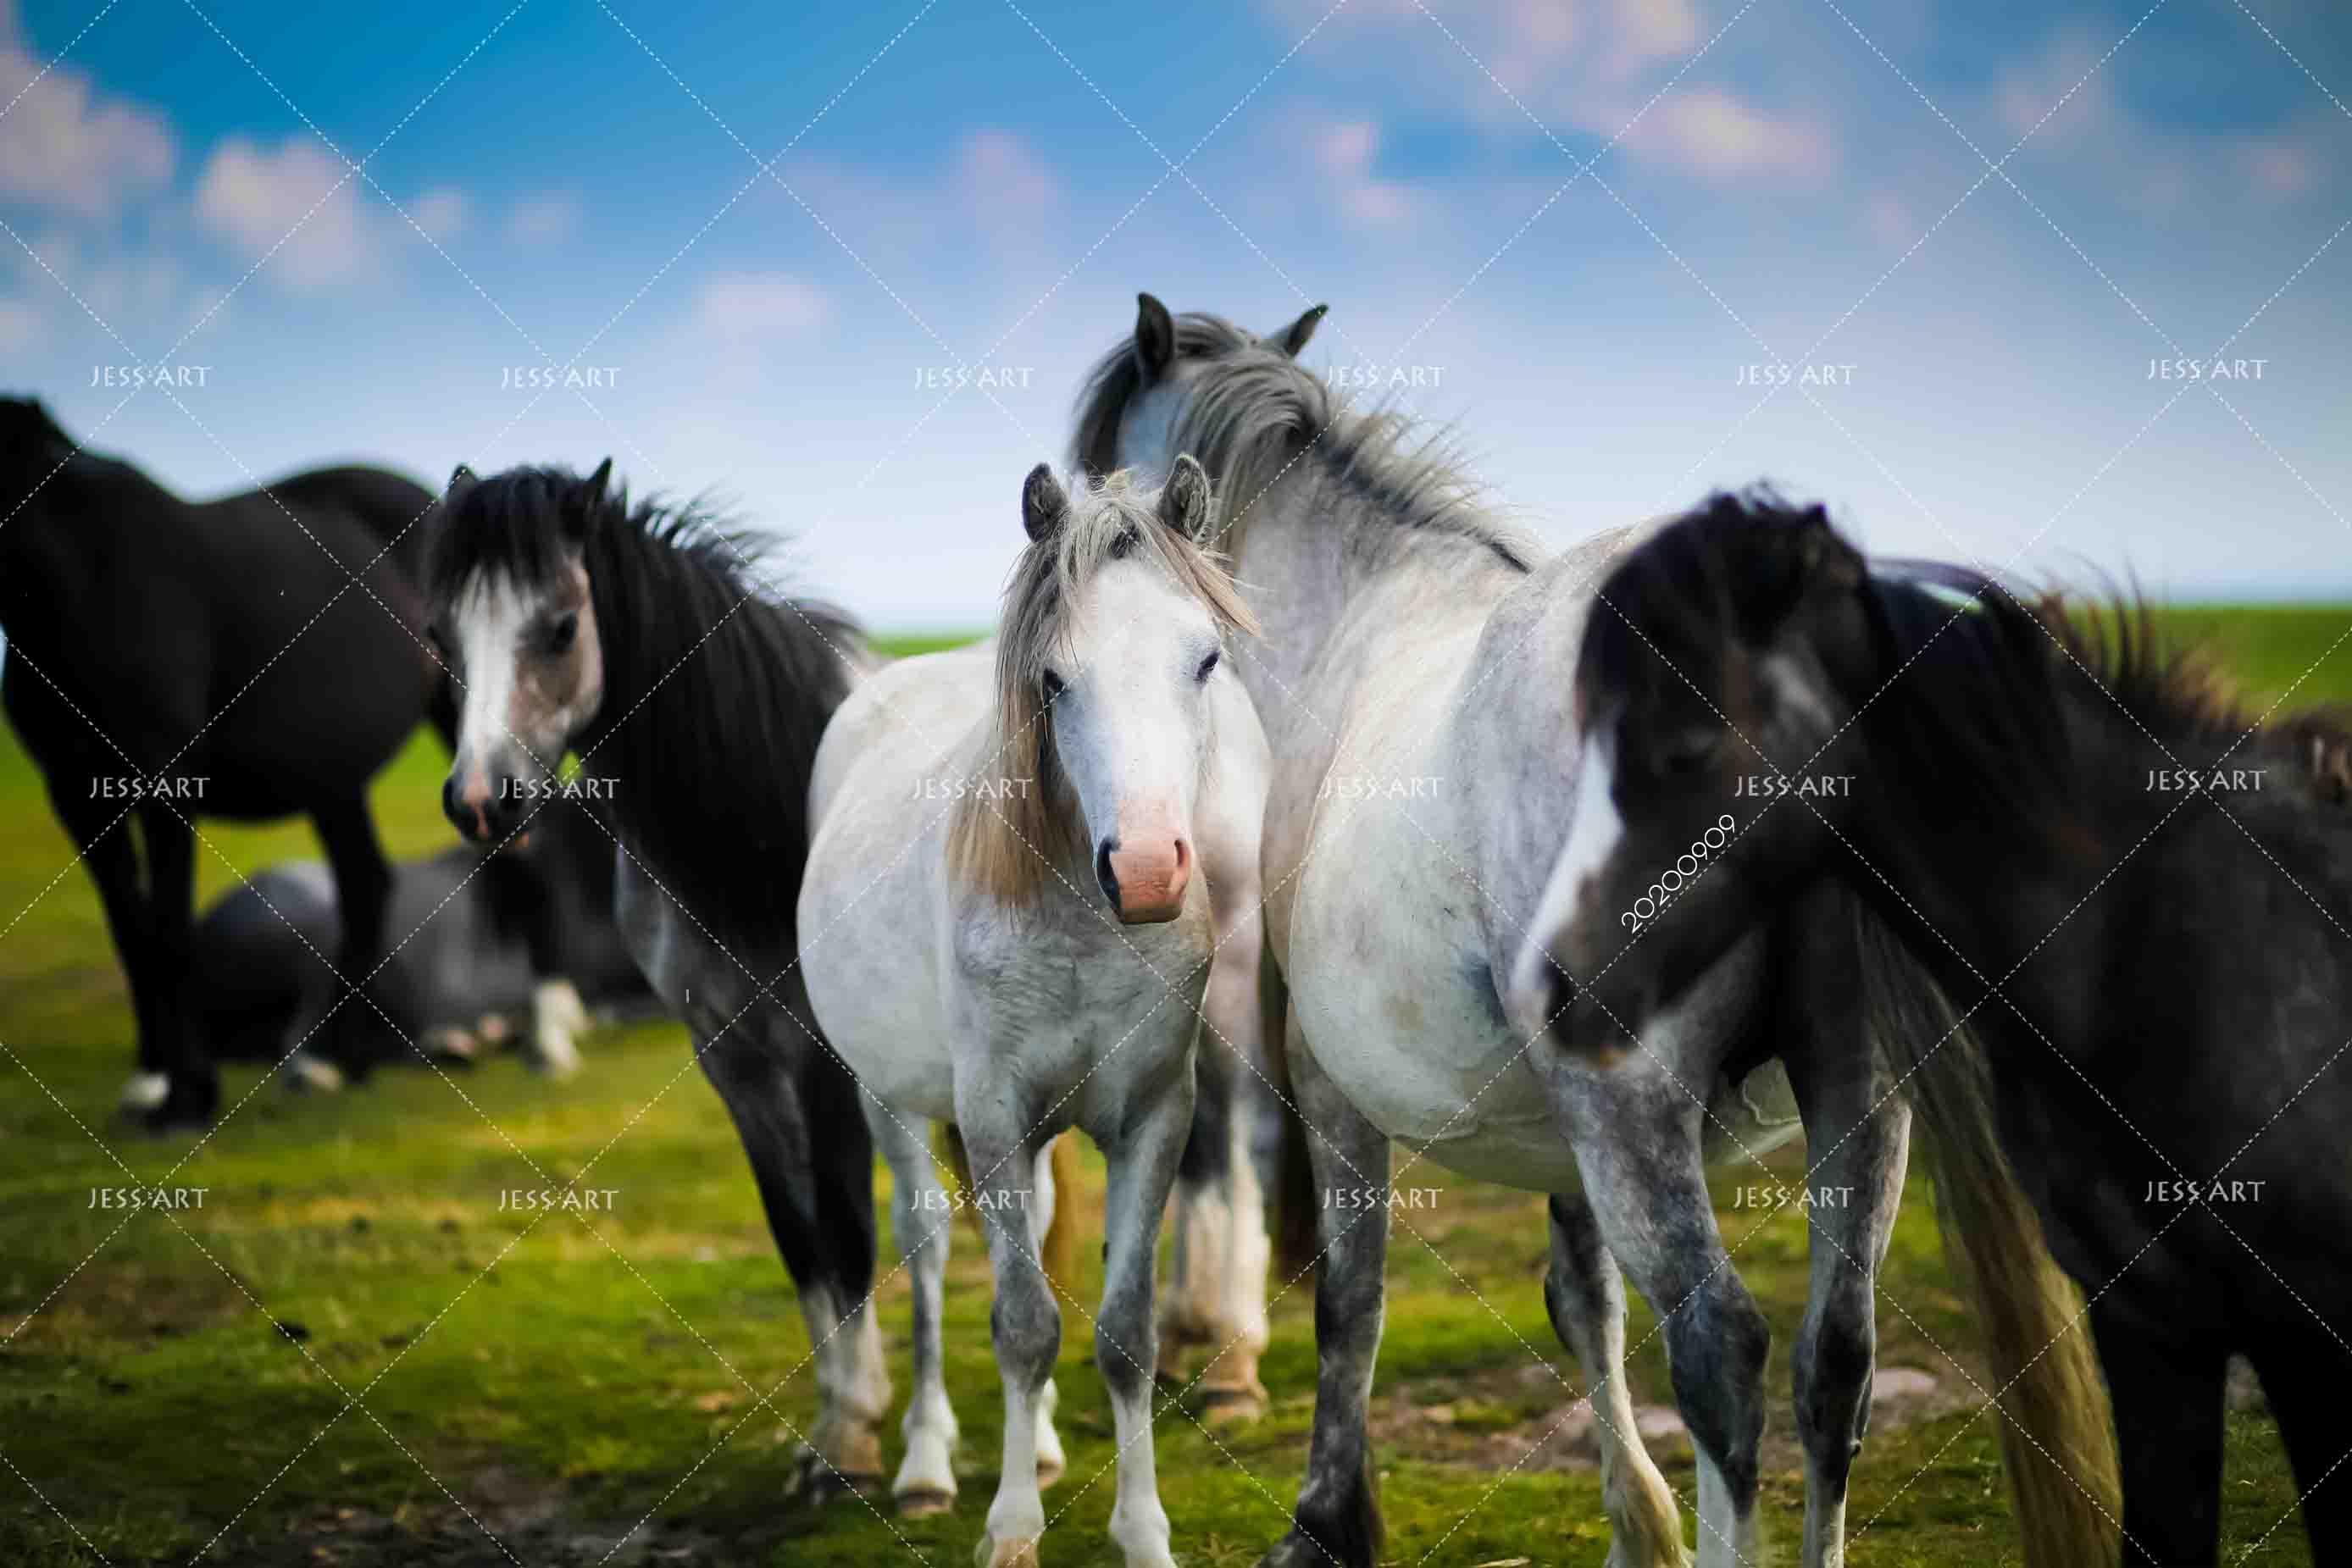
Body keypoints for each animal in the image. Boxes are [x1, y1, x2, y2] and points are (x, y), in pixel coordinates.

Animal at [0, 395, 446, 1128]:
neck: (79, 577)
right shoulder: (73, 791)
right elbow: (132, 931)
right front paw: (150, 1081)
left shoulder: (165, 780)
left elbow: (171, 931)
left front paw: (188, 1096)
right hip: (332, 777)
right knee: (364, 884)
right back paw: (338, 1062)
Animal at [798, 458, 1267, 1568]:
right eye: (1053, 680)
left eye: (1205, 659)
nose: (1146, 872)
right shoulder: (994, 1116)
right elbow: (1021, 1325)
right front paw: (1010, 1529)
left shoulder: (1154, 1117)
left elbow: (1122, 1333)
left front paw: (1142, 1532)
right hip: (889, 1098)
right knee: (925, 1247)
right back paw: (927, 1463)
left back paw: (1043, 1445)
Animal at [1076, 298, 2112, 1568]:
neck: (1364, 615)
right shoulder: (1556, 1124)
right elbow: (1584, 1300)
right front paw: (1636, 1524)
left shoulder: (1334, 1087)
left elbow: (1349, 1305)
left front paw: (1328, 1520)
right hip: (1855, 1100)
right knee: (1835, 1363)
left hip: (1637, 1109)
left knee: (1722, 1350)